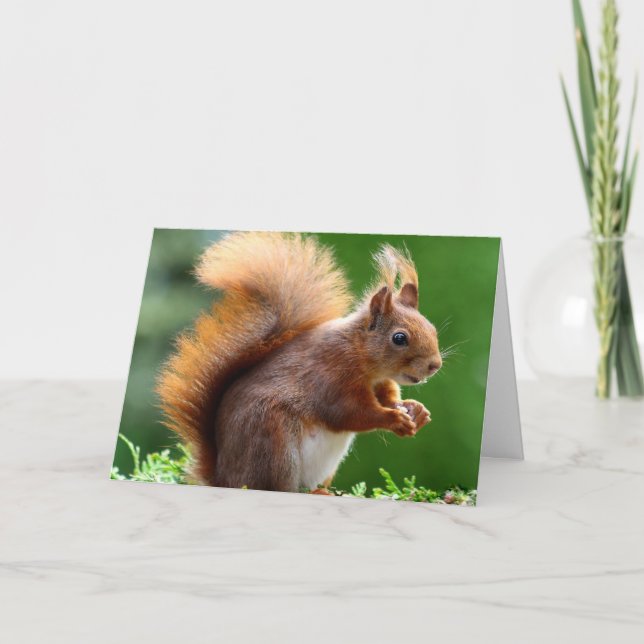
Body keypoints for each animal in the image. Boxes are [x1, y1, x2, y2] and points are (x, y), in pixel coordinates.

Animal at [157, 231, 442, 493]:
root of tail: (224, 479)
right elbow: (349, 412)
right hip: (273, 443)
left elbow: (387, 397)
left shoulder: (380, 382)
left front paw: (415, 410)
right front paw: (393, 419)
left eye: (432, 328)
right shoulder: (332, 375)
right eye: (399, 338)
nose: (435, 365)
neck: (360, 355)